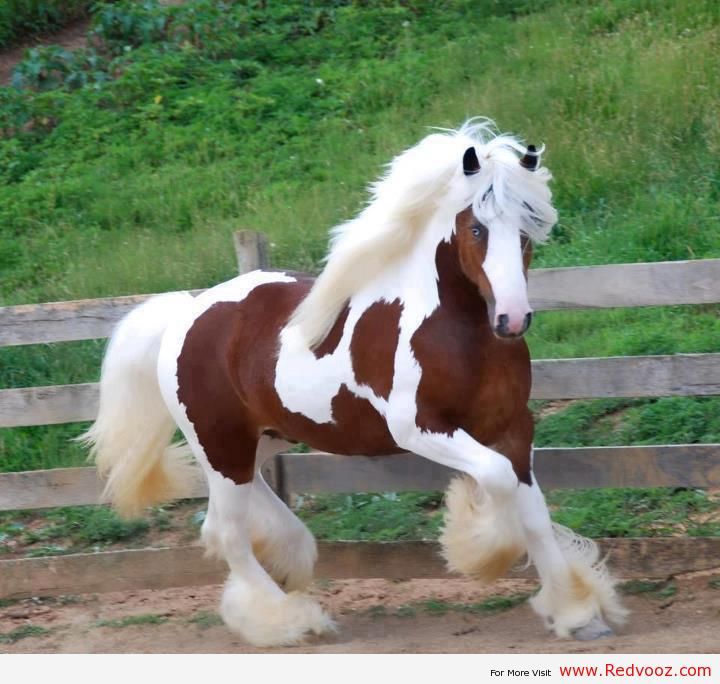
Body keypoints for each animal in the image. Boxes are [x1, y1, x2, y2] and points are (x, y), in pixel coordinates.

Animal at [81, 120, 628, 648]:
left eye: (529, 226)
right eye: (476, 227)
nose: (513, 320)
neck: (454, 332)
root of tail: (186, 312)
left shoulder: (513, 427)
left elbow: (532, 510)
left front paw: (578, 615)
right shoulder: (420, 429)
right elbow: (496, 482)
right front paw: (481, 546)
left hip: (259, 441)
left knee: (228, 520)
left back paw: (289, 564)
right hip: (221, 445)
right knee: (228, 534)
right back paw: (291, 621)